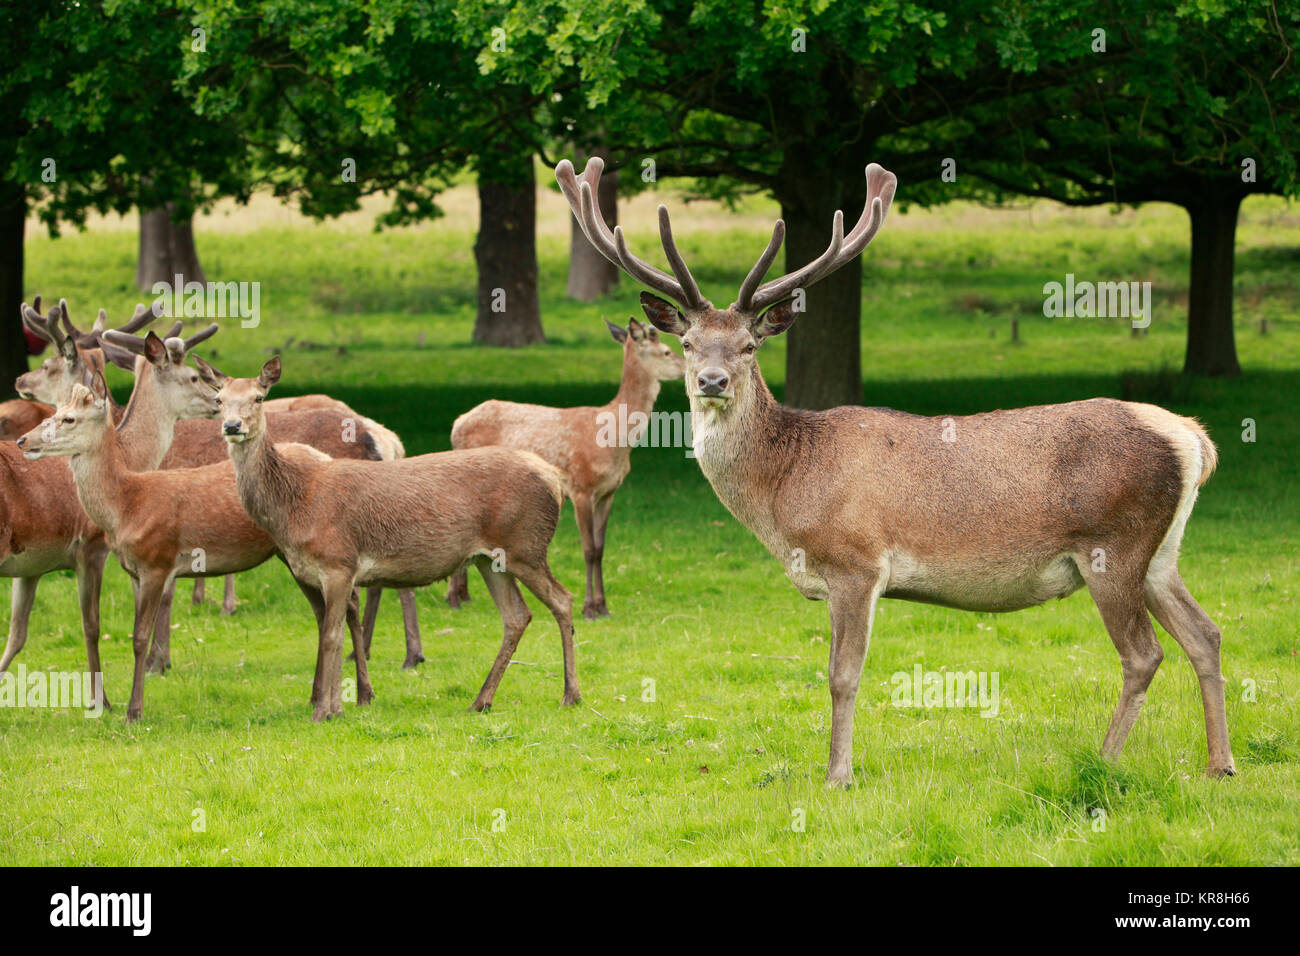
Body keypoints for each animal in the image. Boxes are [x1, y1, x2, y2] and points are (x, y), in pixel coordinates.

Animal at [210, 356, 577, 723]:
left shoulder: (339, 563)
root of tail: (556, 480)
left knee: (562, 600)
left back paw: (570, 695)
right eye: (219, 400)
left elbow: (331, 637)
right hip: (490, 559)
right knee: (516, 616)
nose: (232, 426)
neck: (293, 507)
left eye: (259, 397)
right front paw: (336, 707)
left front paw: (324, 712)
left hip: (526, 546)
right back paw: (481, 700)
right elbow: (334, 633)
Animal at [447, 316, 686, 621]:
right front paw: (589, 608)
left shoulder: (609, 492)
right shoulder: (581, 486)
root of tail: (457, 424)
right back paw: (454, 598)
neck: (614, 440)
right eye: (667, 351)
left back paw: (464, 596)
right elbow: (588, 549)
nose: (688, 369)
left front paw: (604, 606)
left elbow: (601, 548)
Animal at [553, 157, 1232, 785]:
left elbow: (842, 675)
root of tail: (1195, 439)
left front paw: (837, 775)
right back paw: (1218, 765)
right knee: (1205, 633)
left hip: (1112, 546)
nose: (712, 381)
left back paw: (1105, 759)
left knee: (1144, 654)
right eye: (688, 343)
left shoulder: (856, 562)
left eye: (749, 345)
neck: (784, 491)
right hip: (1160, 553)